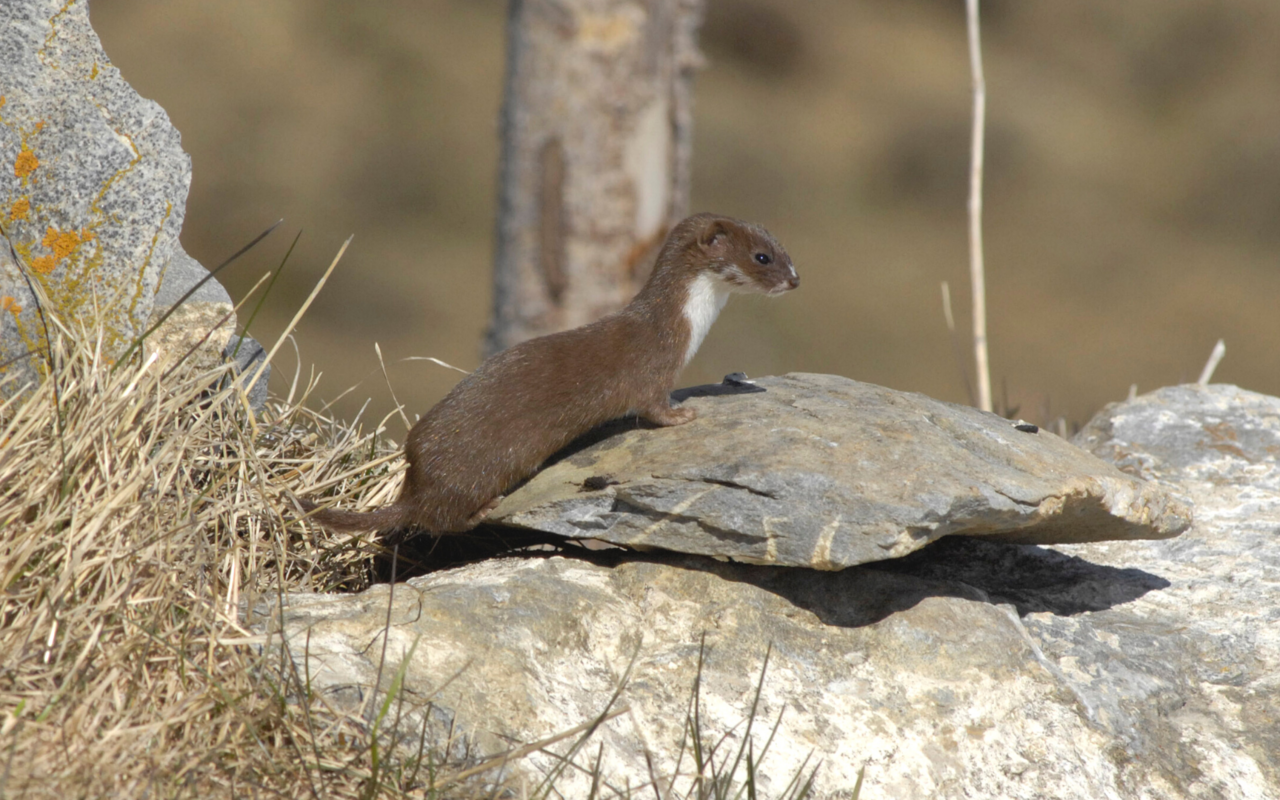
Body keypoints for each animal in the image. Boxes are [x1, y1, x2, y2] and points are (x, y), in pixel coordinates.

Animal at [302, 215, 798, 532]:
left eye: (783, 251)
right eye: (762, 257)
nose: (796, 280)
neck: (686, 326)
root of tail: (415, 481)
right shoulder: (653, 368)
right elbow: (653, 405)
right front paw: (683, 415)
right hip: (476, 473)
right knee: (438, 521)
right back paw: (483, 508)